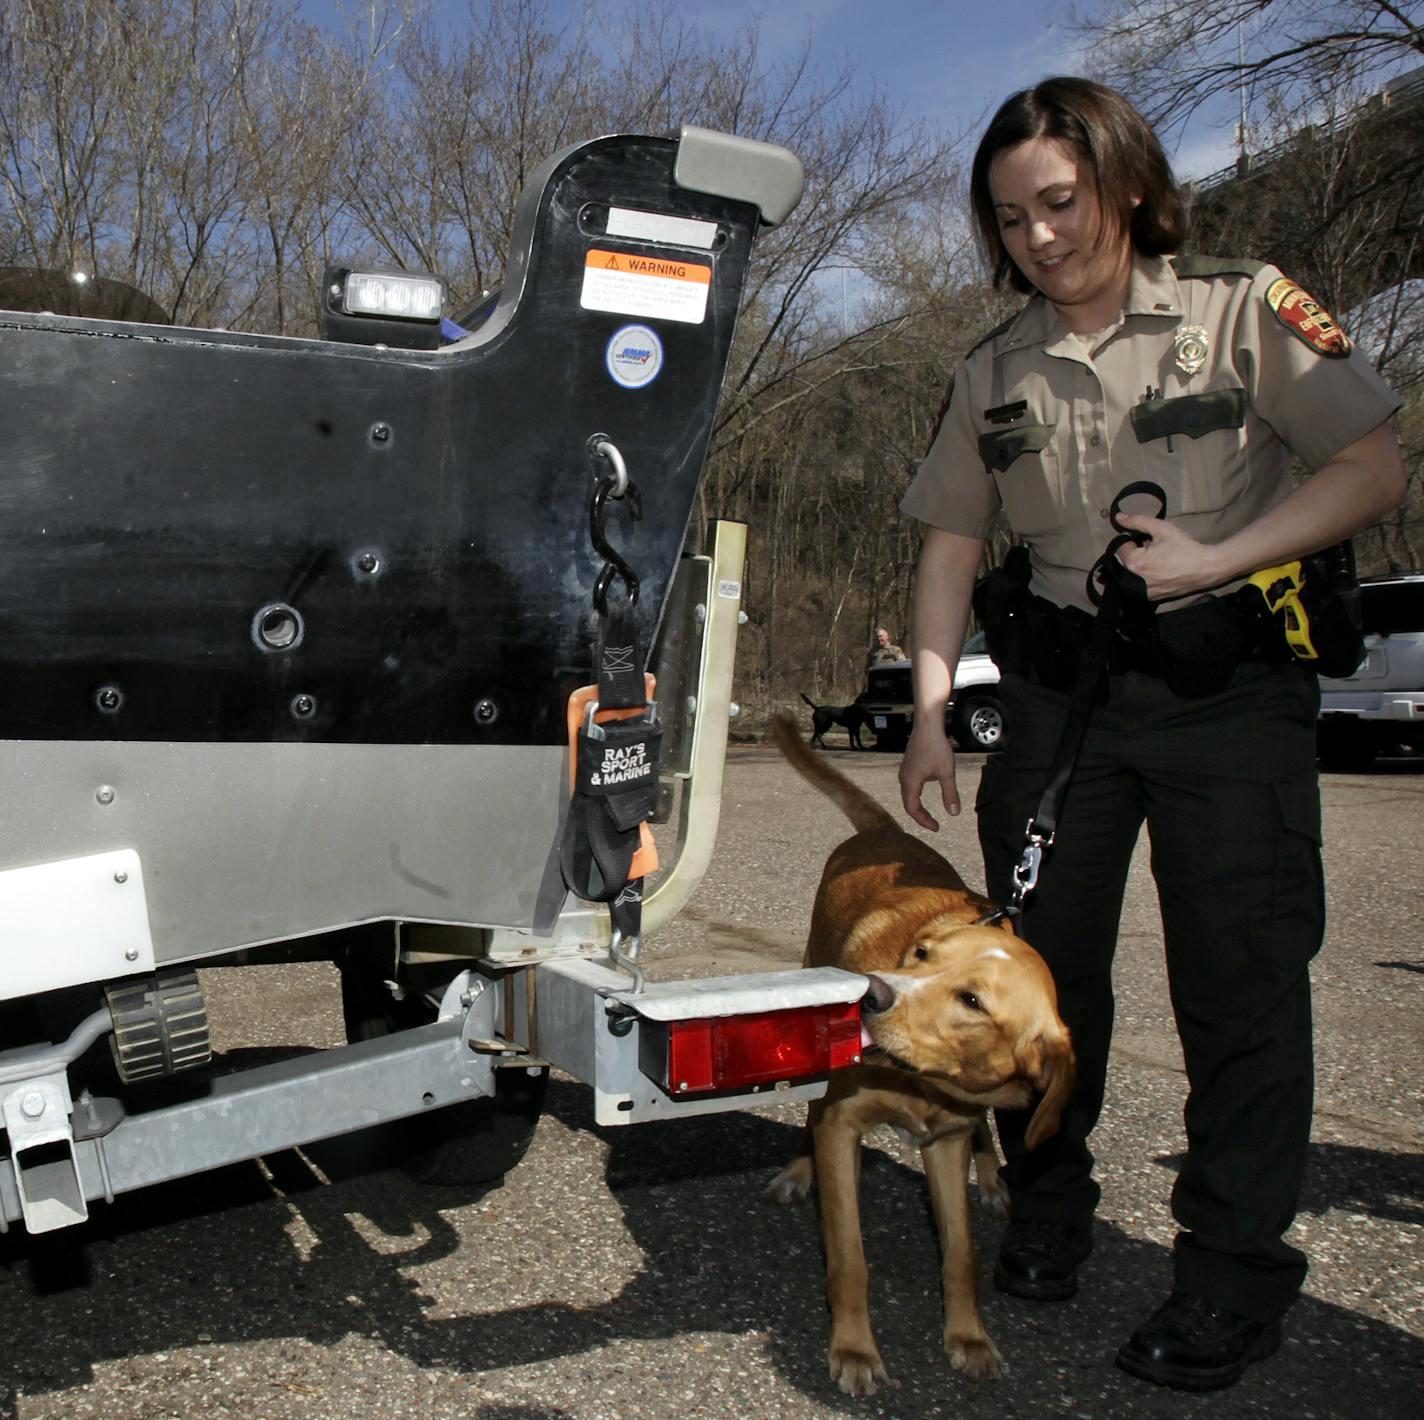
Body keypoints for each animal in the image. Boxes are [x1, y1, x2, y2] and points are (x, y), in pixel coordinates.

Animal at [768, 714, 1070, 1390]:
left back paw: (993, 1177)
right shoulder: (841, 1125)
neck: (926, 1082)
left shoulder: (947, 1142)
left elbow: (961, 1255)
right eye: (924, 955)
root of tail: (885, 831)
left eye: (973, 1001)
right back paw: (797, 1171)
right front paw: (855, 1350)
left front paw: (969, 1337)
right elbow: (850, 1257)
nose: (872, 994)